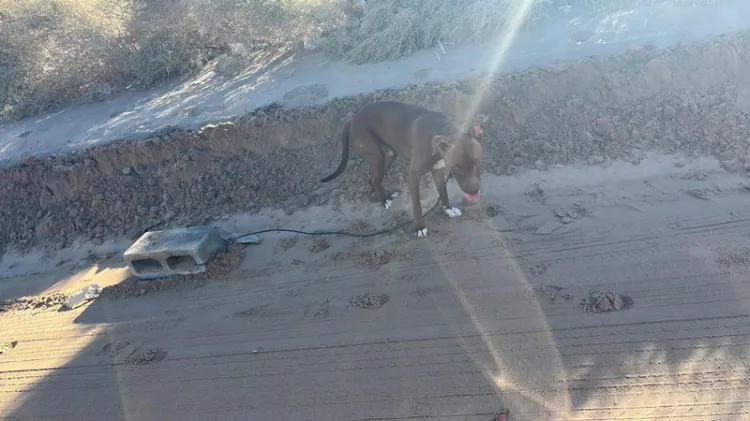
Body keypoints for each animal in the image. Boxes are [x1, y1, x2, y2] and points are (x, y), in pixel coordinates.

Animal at [322, 99, 488, 235]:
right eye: (456, 167)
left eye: (478, 162)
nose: (473, 192)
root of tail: (352, 120)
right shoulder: (413, 174)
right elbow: (417, 205)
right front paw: (420, 227)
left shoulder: (437, 170)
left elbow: (443, 191)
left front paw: (448, 209)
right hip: (376, 155)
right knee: (374, 178)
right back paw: (384, 200)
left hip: (389, 154)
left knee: (374, 179)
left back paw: (387, 196)